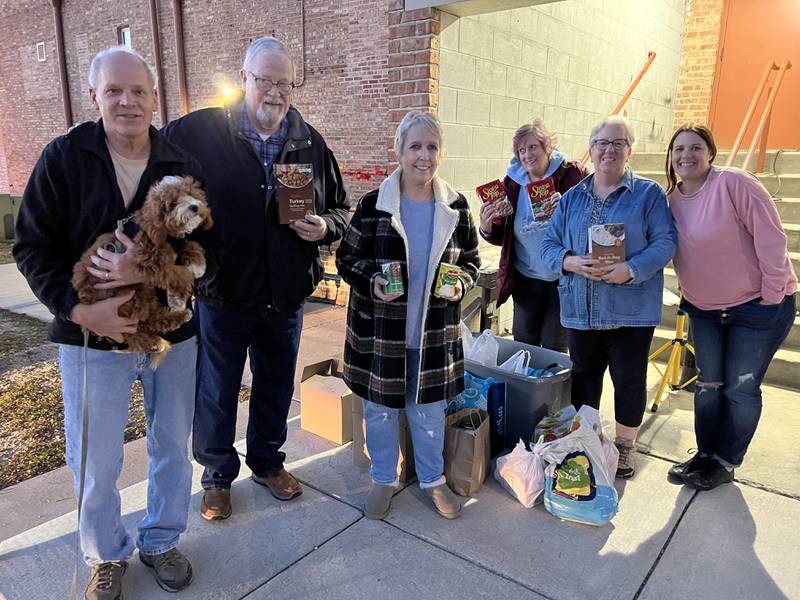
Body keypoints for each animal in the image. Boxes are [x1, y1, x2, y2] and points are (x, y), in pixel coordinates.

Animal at [72, 175, 212, 366]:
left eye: (190, 194)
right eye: (173, 203)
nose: (194, 207)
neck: (165, 232)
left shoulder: (175, 242)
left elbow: (188, 244)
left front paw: (198, 264)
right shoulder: (148, 258)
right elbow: (176, 273)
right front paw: (181, 292)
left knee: (148, 320)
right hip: (128, 298)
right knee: (142, 323)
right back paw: (160, 337)